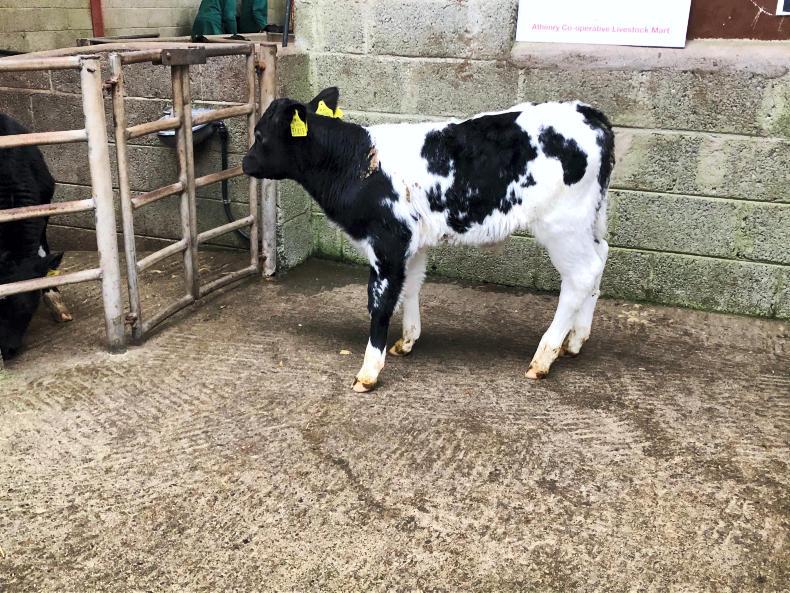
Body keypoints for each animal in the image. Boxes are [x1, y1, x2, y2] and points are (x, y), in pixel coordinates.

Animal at [243, 88, 615, 392]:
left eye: (260, 134)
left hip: (562, 225)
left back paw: (544, 357)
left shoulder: (388, 242)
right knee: (600, 260)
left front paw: (369, 371)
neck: (358, 164)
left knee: (580, 276)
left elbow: (380, 303)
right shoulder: (413, 243)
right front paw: (407, 341)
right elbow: (411, 286)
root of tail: (589, 112)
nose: (244, 163)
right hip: (590, 220)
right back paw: (575, 340)